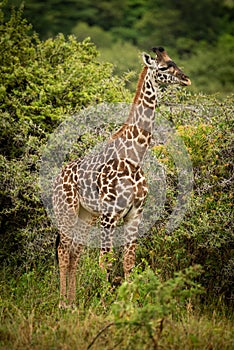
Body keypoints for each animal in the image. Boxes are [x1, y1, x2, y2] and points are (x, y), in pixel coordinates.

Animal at [52, 47, 190, 308]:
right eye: (163, 67)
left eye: (175, 62)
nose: (186, 79)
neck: (134, 159)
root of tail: (56, 178)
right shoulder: (109, 215)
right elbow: (105, 260)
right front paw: (106, 303)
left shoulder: (135, 214)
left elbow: (128, 261)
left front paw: (130, 303)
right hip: (66, 209)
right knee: (63, 251)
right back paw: (62, 303)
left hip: (86, 215)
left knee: (75, 252)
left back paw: (73, 304)